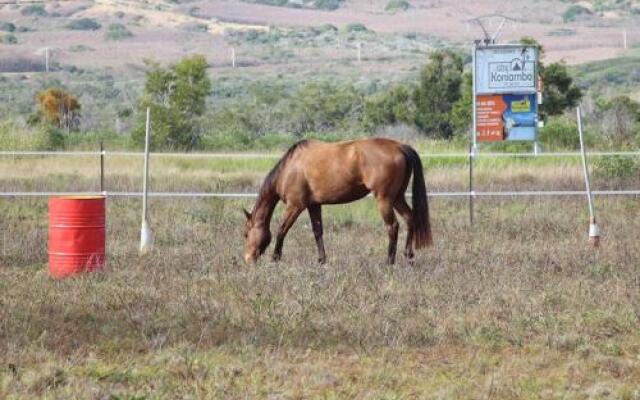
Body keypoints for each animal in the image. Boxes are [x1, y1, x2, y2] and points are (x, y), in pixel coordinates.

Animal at [242, 138, 432, 266]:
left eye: (245, 233)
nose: (248, 259)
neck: (291, 167)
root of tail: (400, 147)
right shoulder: (313, 205)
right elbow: (317, 231)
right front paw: (321, 260)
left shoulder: (295, 206)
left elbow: (282, 230)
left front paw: (275, 258)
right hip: (397, 197)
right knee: (410, 219)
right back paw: (408, 255)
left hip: (384, 199)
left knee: (392, 227)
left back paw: (389, 261)